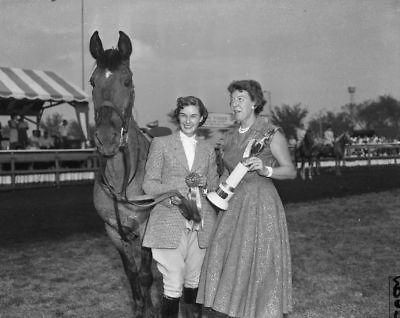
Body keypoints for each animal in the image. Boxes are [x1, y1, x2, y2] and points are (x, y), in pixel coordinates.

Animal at [88, 30, 198, 318]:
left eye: (127, 81)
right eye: (92, 82)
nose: (106, 138)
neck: (122, 184)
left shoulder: (148, 230)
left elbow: (147, 275)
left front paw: (152, 308)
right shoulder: (115, 232)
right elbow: (132, 275)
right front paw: (140, 308)